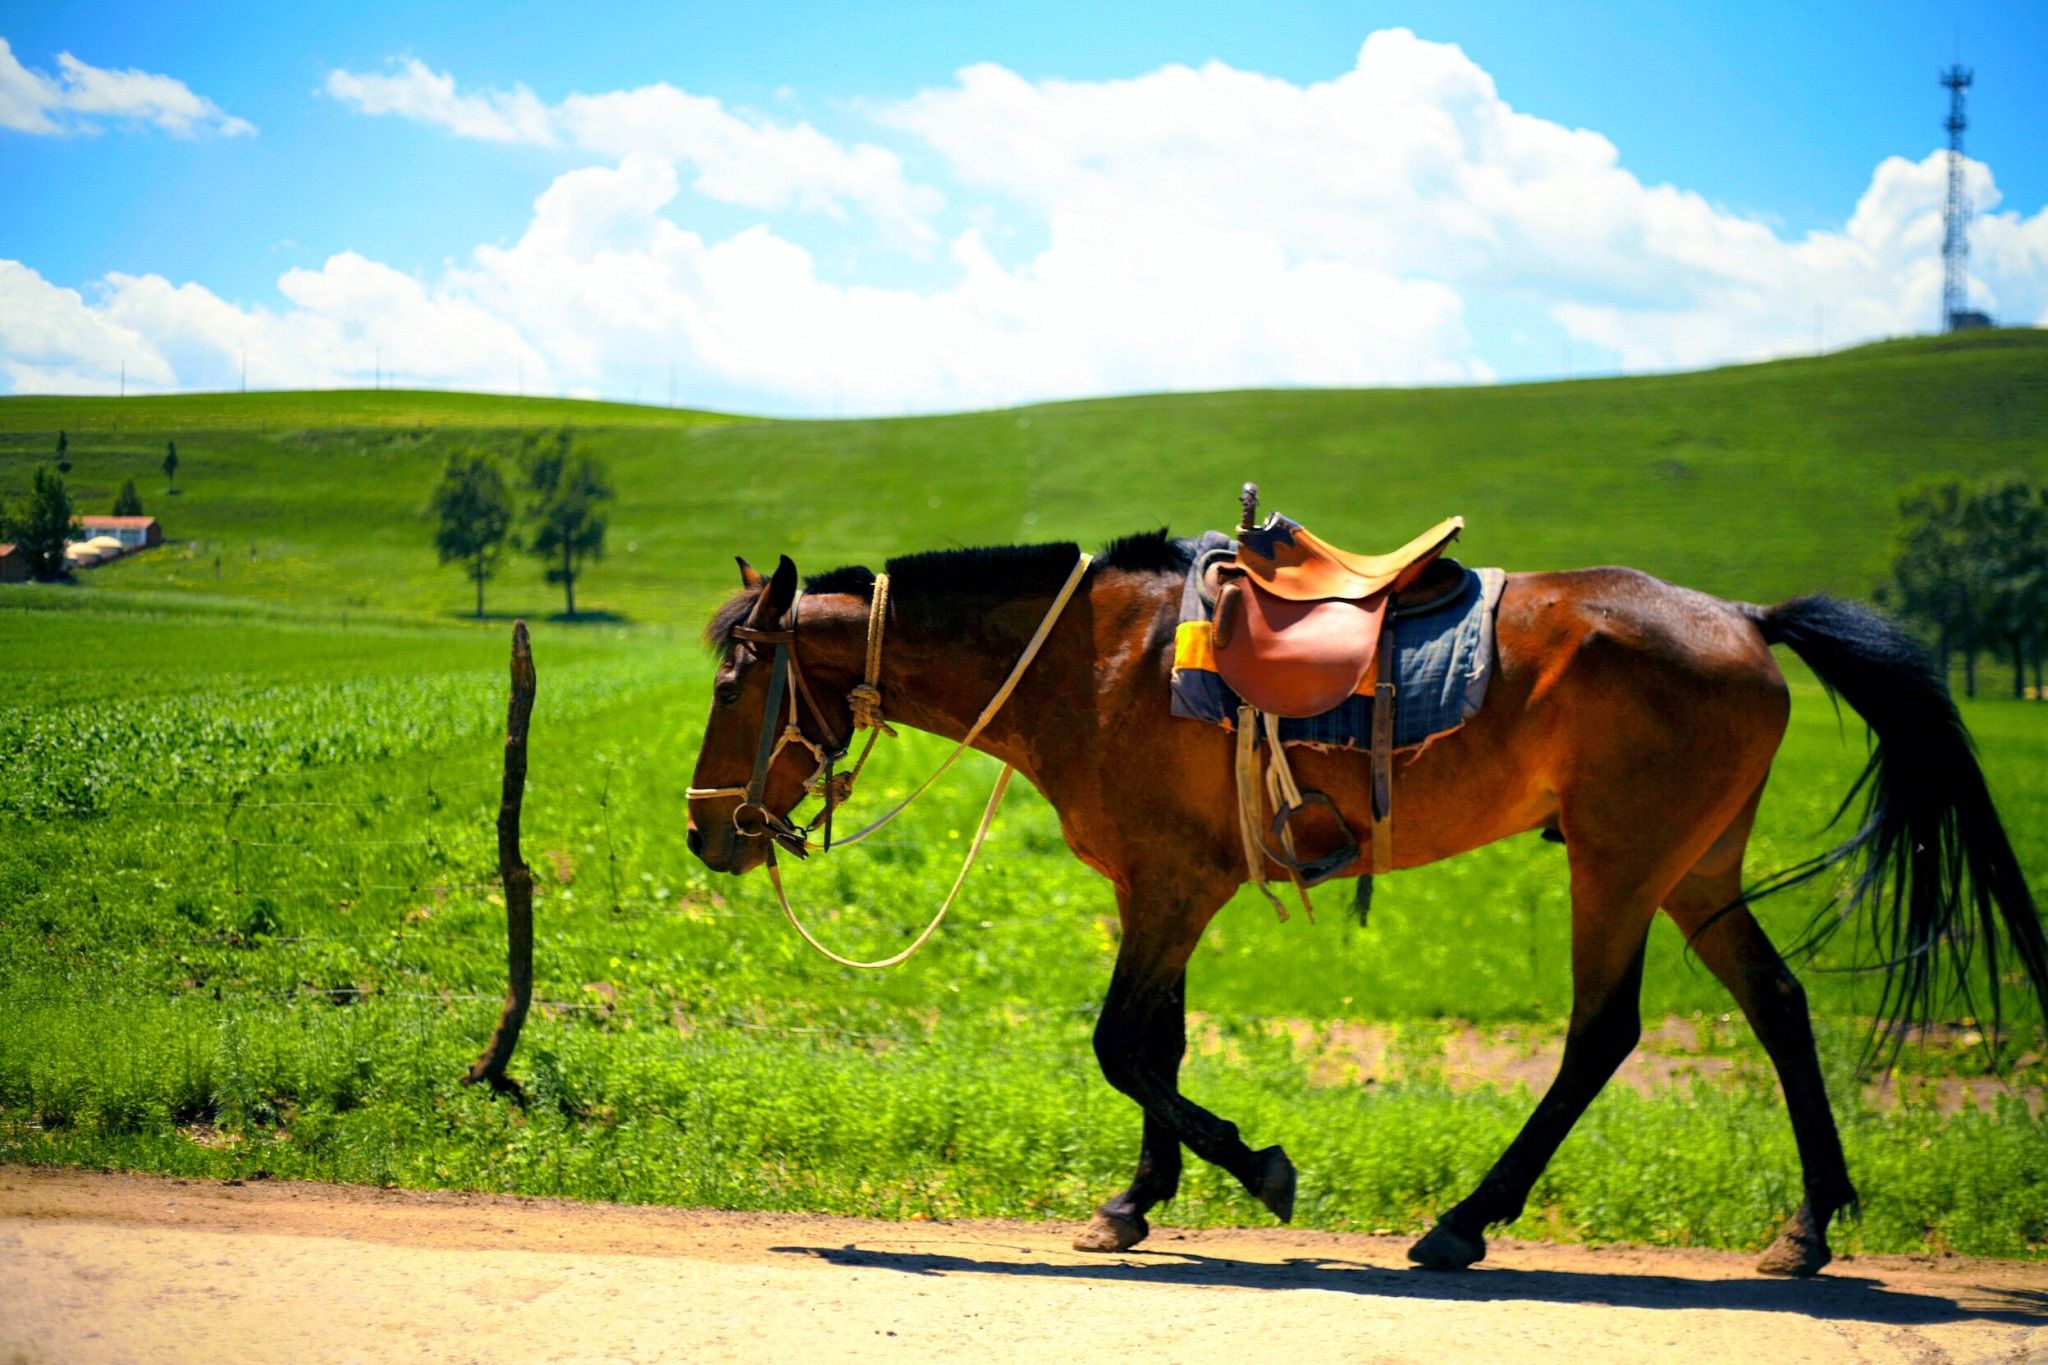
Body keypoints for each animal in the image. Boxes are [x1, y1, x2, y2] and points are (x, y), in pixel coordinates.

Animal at [688, 532, 2048, 1285]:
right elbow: (1155, 1048)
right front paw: (1136, 1201)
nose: (706, 829)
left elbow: (1123, 1047)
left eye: (736, 678)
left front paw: (1258, 1170)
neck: (1095, 662)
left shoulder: (1173, 883)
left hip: (1619, 863)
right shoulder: (1163, 883)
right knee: (1775, 1007)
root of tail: (1744, 618)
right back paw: (1805, 1226)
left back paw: (1461, 1223)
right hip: (1695, 873)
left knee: (1600, 1036)